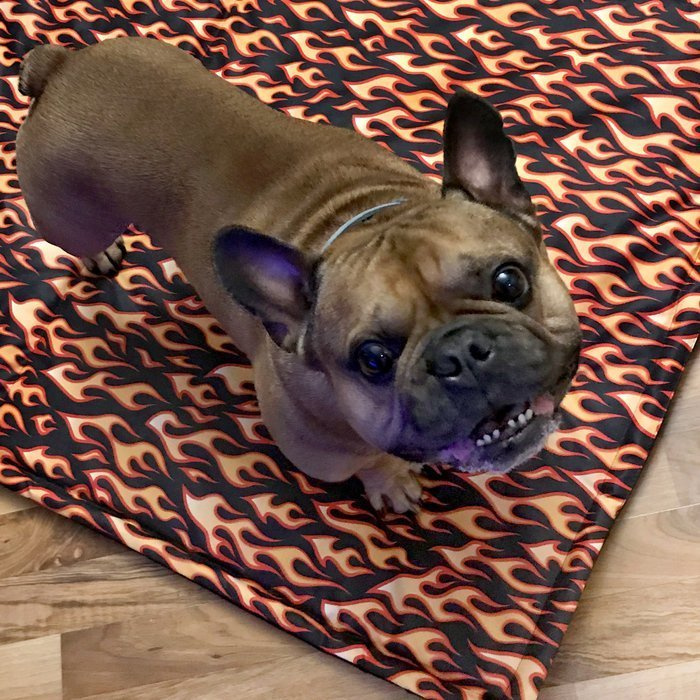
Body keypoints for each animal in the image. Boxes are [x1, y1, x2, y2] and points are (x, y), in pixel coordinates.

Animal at [15, 38, 581, 513]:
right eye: (373, 360)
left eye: (510, 282)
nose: (458, 354)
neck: (363, 216)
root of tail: (61, 66)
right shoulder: (321, 452)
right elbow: (368, 461)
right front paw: (391, 479)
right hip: (67, 217)